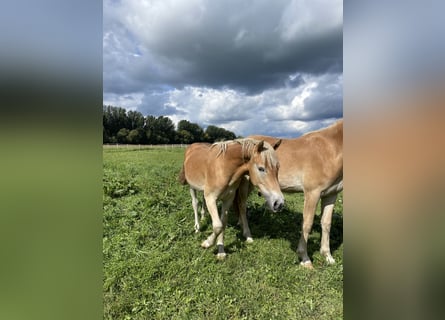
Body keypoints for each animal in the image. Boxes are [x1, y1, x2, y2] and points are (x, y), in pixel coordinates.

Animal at [239, 120, 344, 268]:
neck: (330, 149)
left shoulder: (331, 194)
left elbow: (326, 223)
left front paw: (328, 257)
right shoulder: (312, 193)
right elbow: (307, 224)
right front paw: (305, 259)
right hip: (246, 183)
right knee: (242, 205)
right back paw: (248, 236)